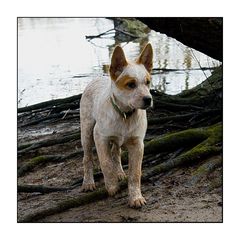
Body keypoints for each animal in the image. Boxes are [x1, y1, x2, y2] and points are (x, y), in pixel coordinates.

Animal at [79, 42, 153, 207]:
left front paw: (136, 197)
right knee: (87, 158)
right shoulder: (100, 137)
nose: (148, 99)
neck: (124, 115)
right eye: (131, 84)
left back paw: (119, 172)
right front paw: (112, 186)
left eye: (147, 82)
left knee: (116, 152)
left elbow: (135, 173)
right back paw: (88, 183)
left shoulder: (137, 144)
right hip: (86, 131)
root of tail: (98, 78)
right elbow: (106, 163)